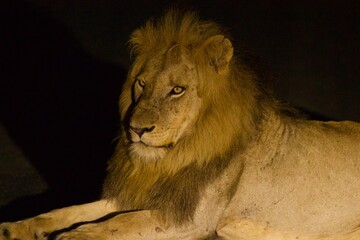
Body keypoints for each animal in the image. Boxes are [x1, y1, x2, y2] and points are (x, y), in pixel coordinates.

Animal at [0, 9, 360, 240]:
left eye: (177, 90)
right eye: (141, 84)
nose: (137, 129)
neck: (172, 156)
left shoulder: (192, 219)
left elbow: (120, 223)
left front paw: (75, 237)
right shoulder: (147, 192)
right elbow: (72, 209)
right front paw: (16, 227)